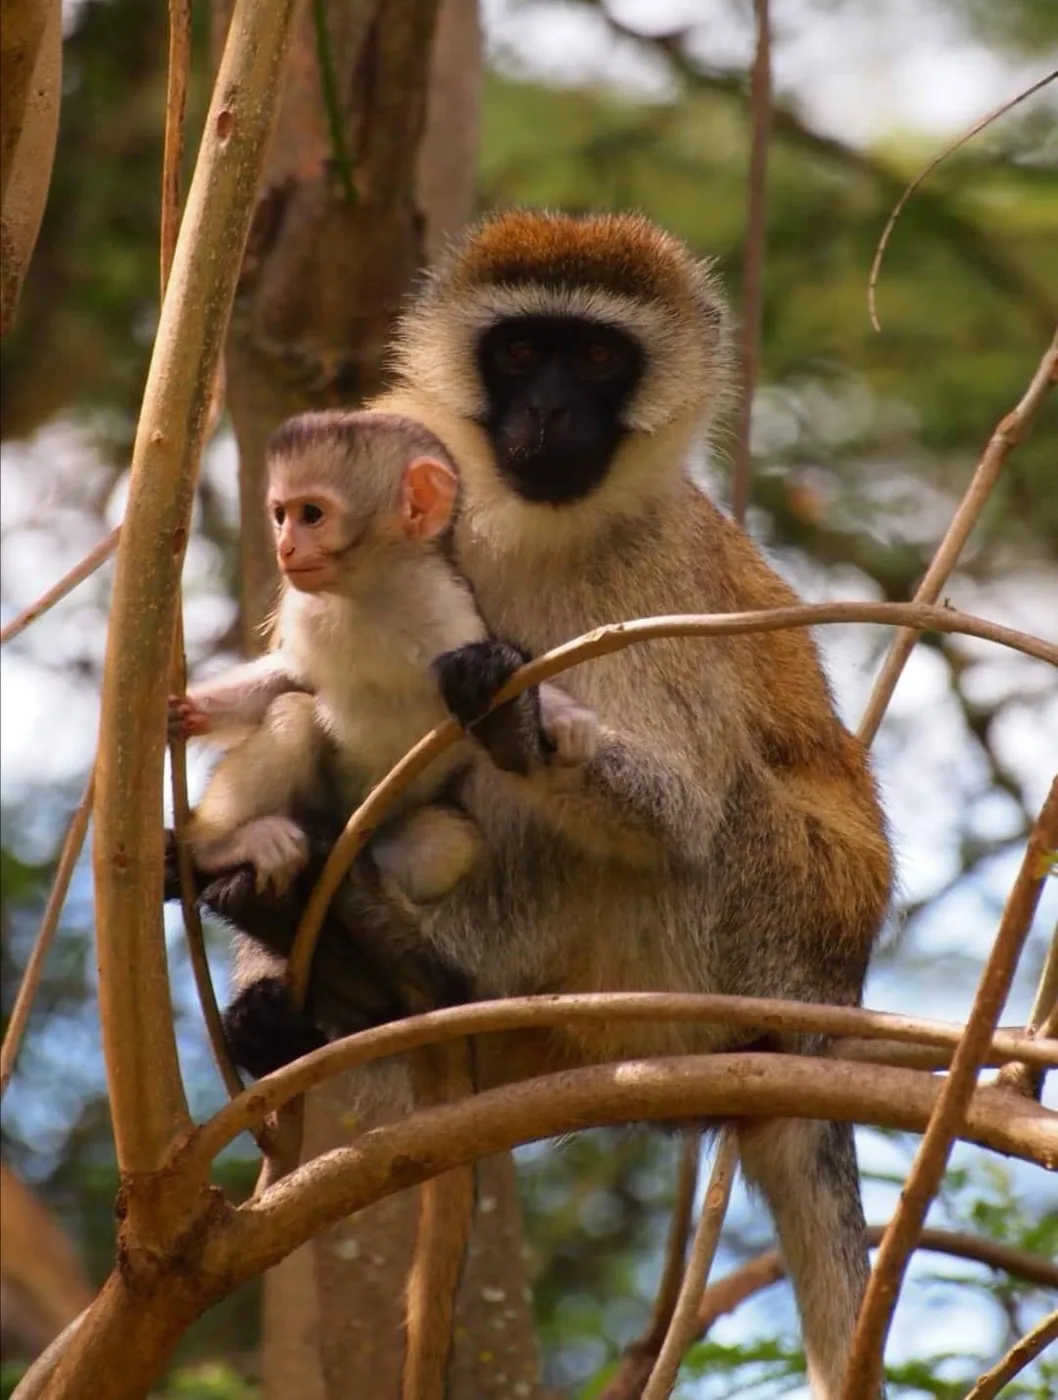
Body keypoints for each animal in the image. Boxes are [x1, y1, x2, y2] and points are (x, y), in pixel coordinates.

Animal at [190, 210, 894, 1400]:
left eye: (600, 358)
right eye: (521, 351)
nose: (550, 415)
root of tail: (816, 1025)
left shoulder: (653, 575)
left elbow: (681, 810)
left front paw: (521, 716)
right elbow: (290, 702)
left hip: (744, 943)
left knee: (689, 828)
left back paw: (404, 963)